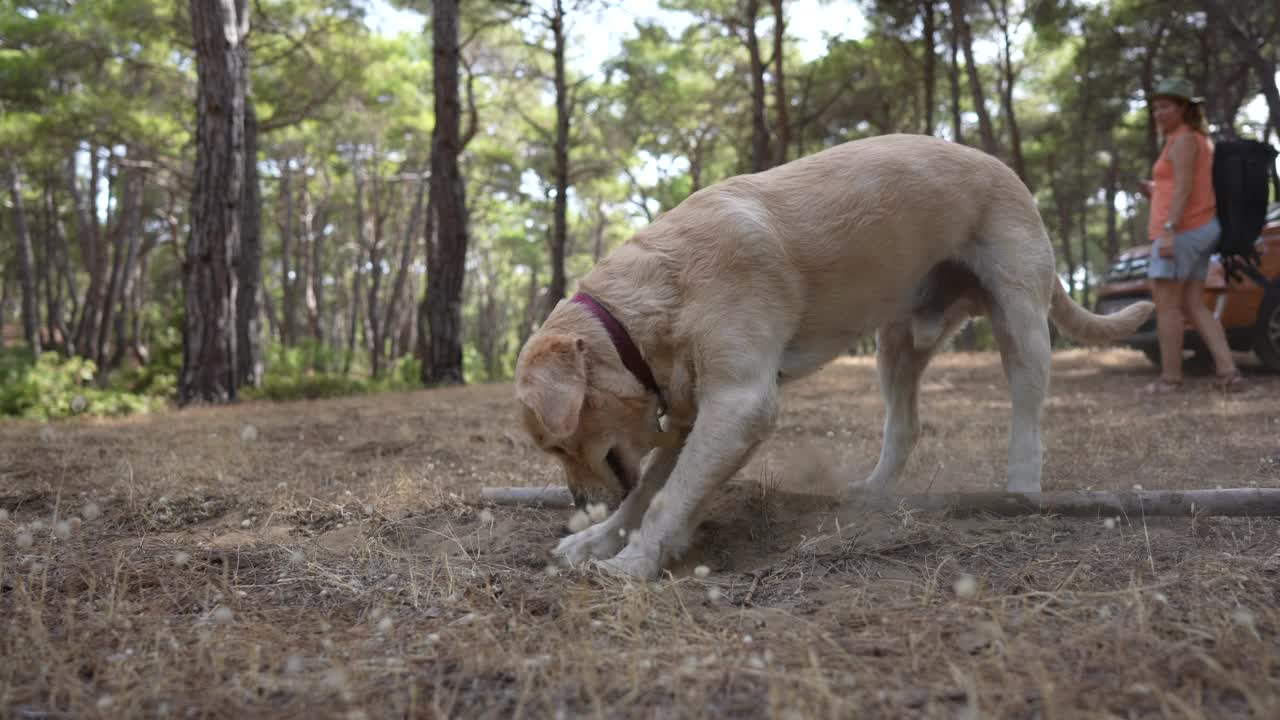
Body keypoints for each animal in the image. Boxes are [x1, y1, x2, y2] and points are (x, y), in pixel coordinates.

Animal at [514, 131, 1157, 573]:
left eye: (560, 443)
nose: (576, 501)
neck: (661, 294)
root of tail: (1009, 172)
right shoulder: (693, 417)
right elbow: (644, 493)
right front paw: (595, 540)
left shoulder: (740, 405)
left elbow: (666, 498)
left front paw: (633, 564)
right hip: (897, 343)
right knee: (906, 425)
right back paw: (873, 492)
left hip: (1020, 319)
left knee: (1027, 416)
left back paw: (1021, 491)